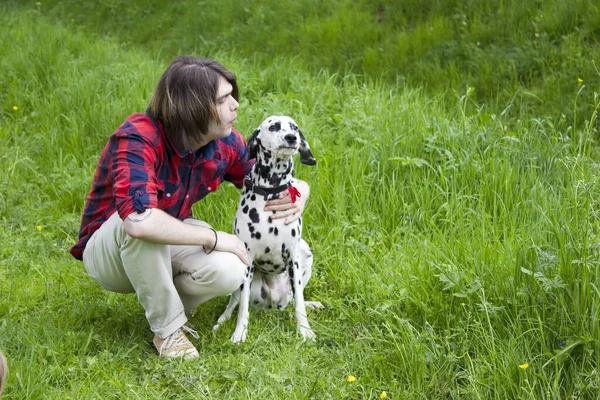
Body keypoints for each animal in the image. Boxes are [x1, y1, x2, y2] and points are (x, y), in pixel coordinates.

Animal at [212, 114, 324, 342]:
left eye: (294, 128)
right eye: (274, 127)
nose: (291, 138)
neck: (272, 191)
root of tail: (275, 301)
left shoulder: (294, 259)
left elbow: (300, 303)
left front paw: (305, 330)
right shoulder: (247, 258)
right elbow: (242, 307)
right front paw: (239, 333)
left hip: (305, 253)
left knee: (294, 300)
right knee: (233, 302)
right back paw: (222, 321)